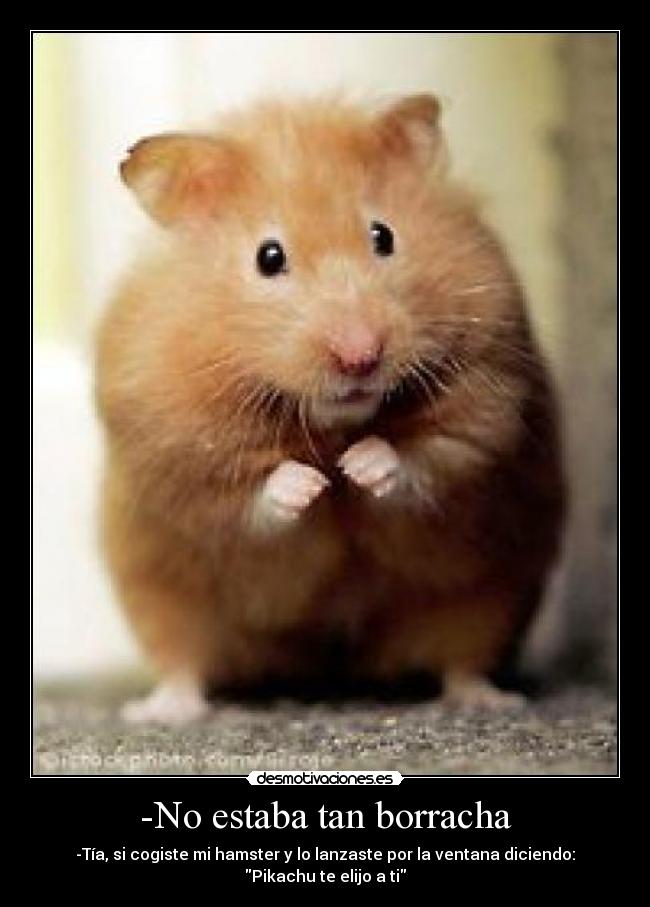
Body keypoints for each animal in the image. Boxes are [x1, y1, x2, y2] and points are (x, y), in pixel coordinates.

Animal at [95, 95, 565, 723]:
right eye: (269, 257)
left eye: (383, 236)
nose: (360, 356)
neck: (331, 422)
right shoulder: (176, 452)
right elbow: (248, 497)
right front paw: (315, 484)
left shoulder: (486, 409)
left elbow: (425, 461)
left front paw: (354, 468)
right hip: (160, 595)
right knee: (181, 661)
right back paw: (159, 712)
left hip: (487, 594)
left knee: (463, 658)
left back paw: (491, 701)